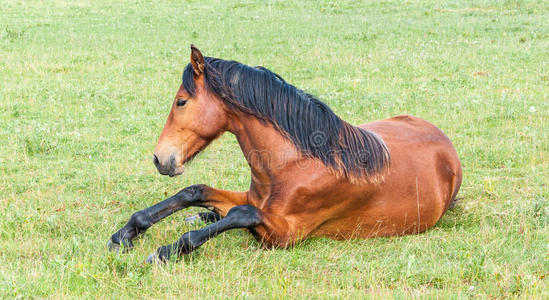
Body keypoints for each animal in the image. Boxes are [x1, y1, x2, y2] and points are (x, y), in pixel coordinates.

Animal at [108, 45, 462, 262]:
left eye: (181, 101)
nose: (159, 158)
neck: (296, 162)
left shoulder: (285, 234)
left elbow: (240, 214)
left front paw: (163, 252)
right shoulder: (253, 198)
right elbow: (194, 191)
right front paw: (125, 235)